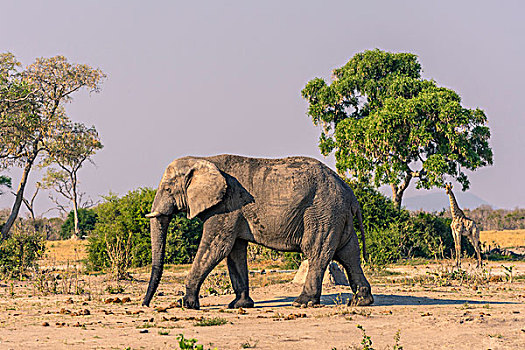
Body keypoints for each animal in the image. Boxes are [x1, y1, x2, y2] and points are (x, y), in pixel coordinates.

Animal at [143, 154, 372, 308]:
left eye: (168, 190)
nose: (145, 305)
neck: (203, 159)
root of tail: (349, 191)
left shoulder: (226, 206)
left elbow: (216, 247)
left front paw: (183, 304)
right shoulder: (233, 211)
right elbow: (234, 252)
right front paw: (239, 305)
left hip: (323, 212)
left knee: (317, 252)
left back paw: (302, 303)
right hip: (337, 215)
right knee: (349, 254)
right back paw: (360, 301)